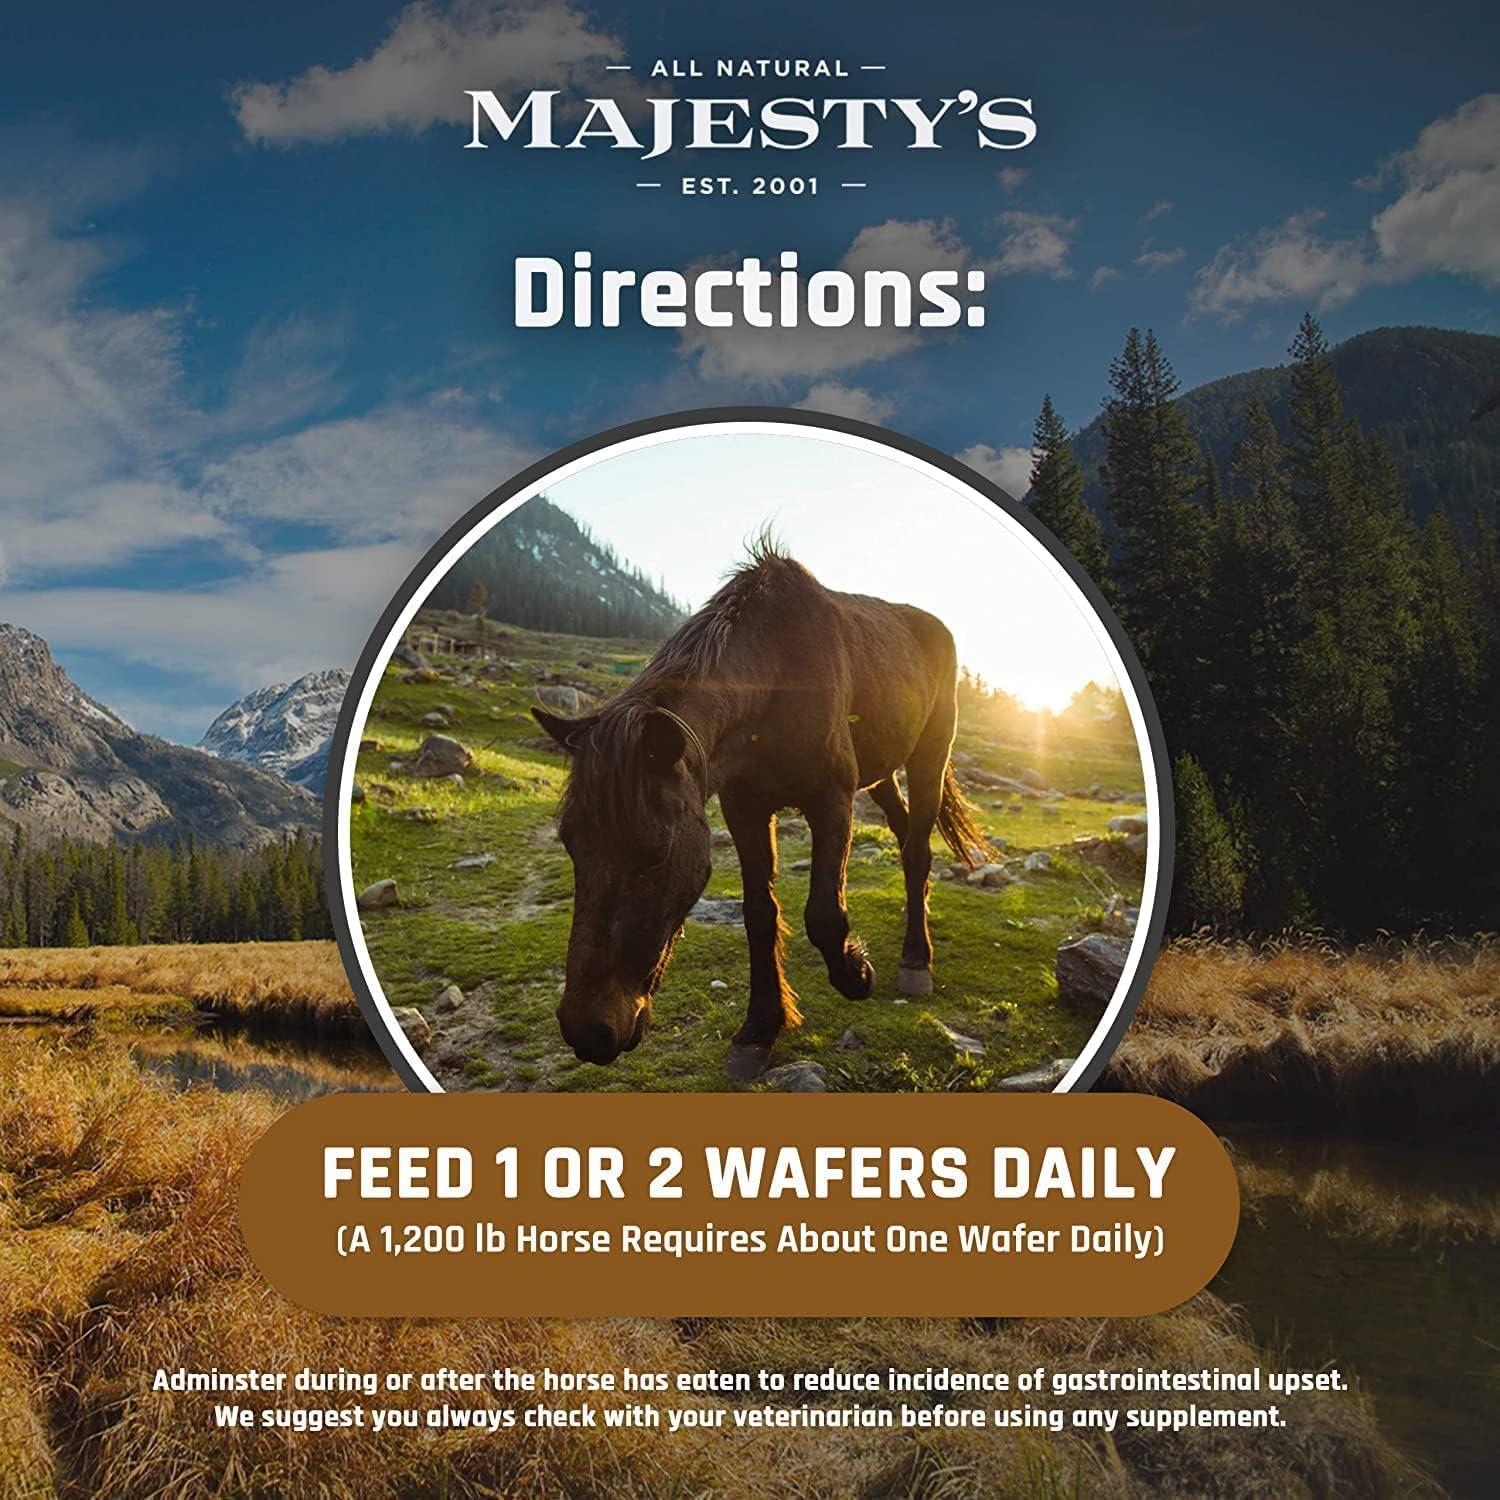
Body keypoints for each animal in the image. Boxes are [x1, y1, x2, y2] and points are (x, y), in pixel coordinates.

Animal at [531, 541, 990, 1079]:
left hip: (928, 758)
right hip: (880, 775)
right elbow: (758, 915)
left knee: (918, 850)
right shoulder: (745, 809)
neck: (777, 677)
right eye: (571, 842)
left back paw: (916, 962)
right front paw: (759, 1029)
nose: (588, 1031)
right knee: (905, 837)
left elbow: (824, 915)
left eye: (656, 852)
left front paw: (856, 971)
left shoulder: (831, 800)